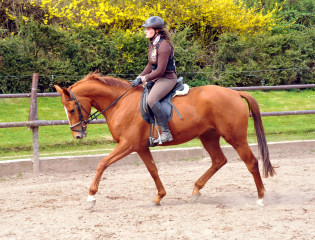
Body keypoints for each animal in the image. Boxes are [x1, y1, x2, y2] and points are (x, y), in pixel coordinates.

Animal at [55, 72, 276, 207]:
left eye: (72, 109)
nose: (78, 135)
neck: (120, 103)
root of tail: (235, 93)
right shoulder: (140, 147)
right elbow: (153, 170)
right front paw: (159, 197)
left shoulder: (127, 145)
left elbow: (102, 164)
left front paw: (91, 197)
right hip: (208, 136)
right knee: (218, 161)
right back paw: (196, 191)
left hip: (235, 138)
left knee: (251, 162)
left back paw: (261, 198)